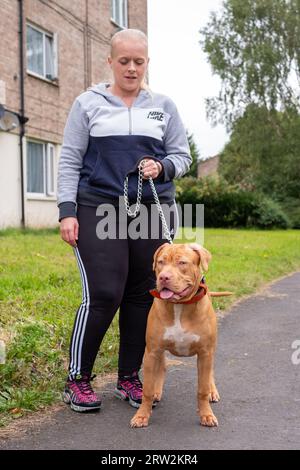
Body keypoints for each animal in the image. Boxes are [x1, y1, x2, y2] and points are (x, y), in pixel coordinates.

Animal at [131, 244, 220, 428]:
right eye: (160, 262)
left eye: (182, 262)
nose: (164, 277)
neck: (179, 306)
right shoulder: (152, 351)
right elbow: (147, 390)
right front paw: (142, 416)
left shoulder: (205, 353)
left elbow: (202, 389)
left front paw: (206, 415)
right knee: (162, 367)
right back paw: (157, 391)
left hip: (210, 352)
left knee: (210, 373)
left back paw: (212, 391)